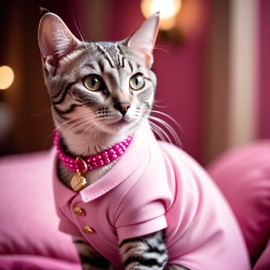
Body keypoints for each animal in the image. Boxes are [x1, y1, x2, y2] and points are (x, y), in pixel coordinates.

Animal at [37, 8, 251, 270]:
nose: (124, 105)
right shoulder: (82, 240)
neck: (91, 159)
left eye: (136, 81)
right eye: (93, 82)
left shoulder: (146, 227)